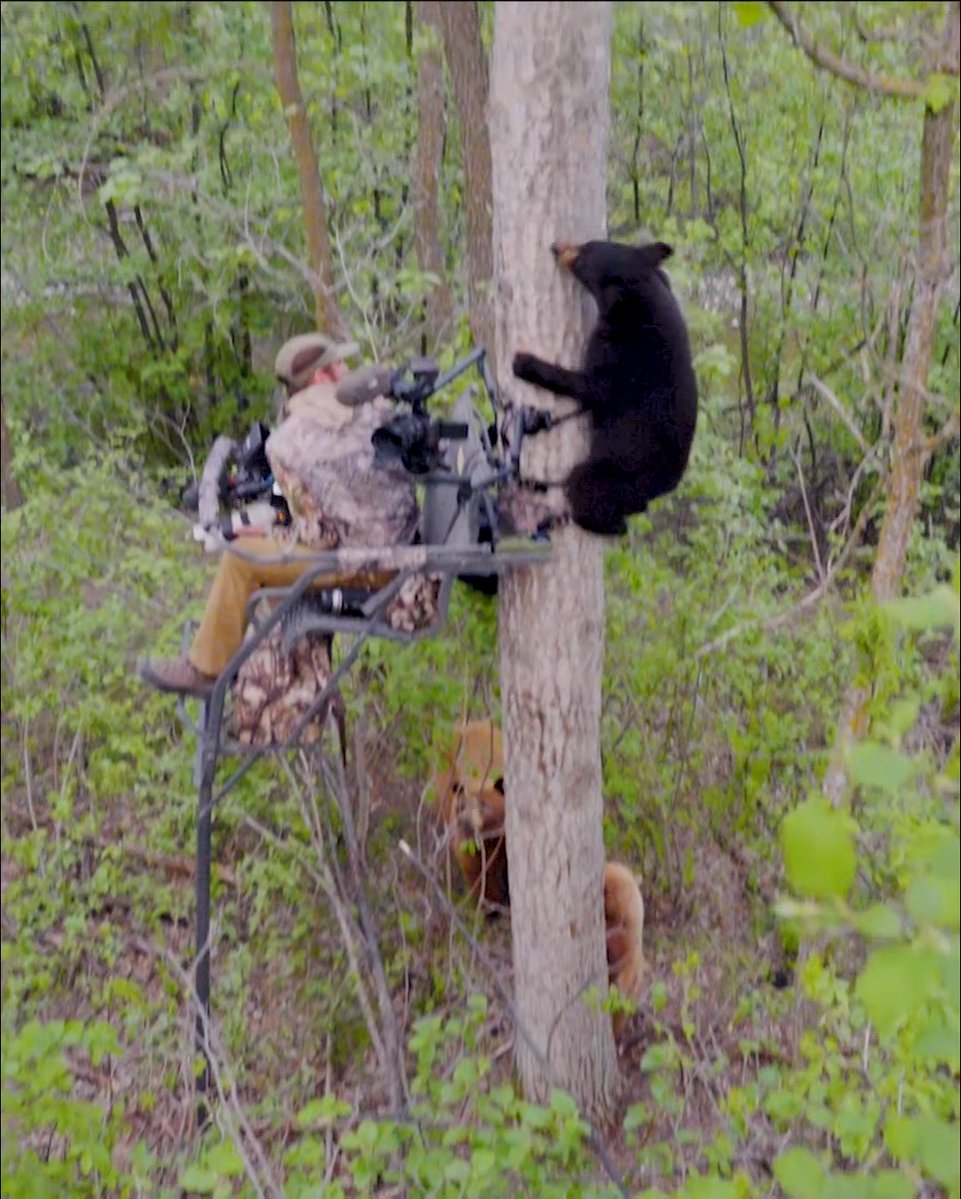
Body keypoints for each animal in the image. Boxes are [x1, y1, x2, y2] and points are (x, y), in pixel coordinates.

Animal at [512, 239, 698, 537]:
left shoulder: (628, 357)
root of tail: (661, 491)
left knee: (585, 490)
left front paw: (526, 363)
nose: (556, 246)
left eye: (584, 253)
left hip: (614, 474)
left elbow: (592, 386)